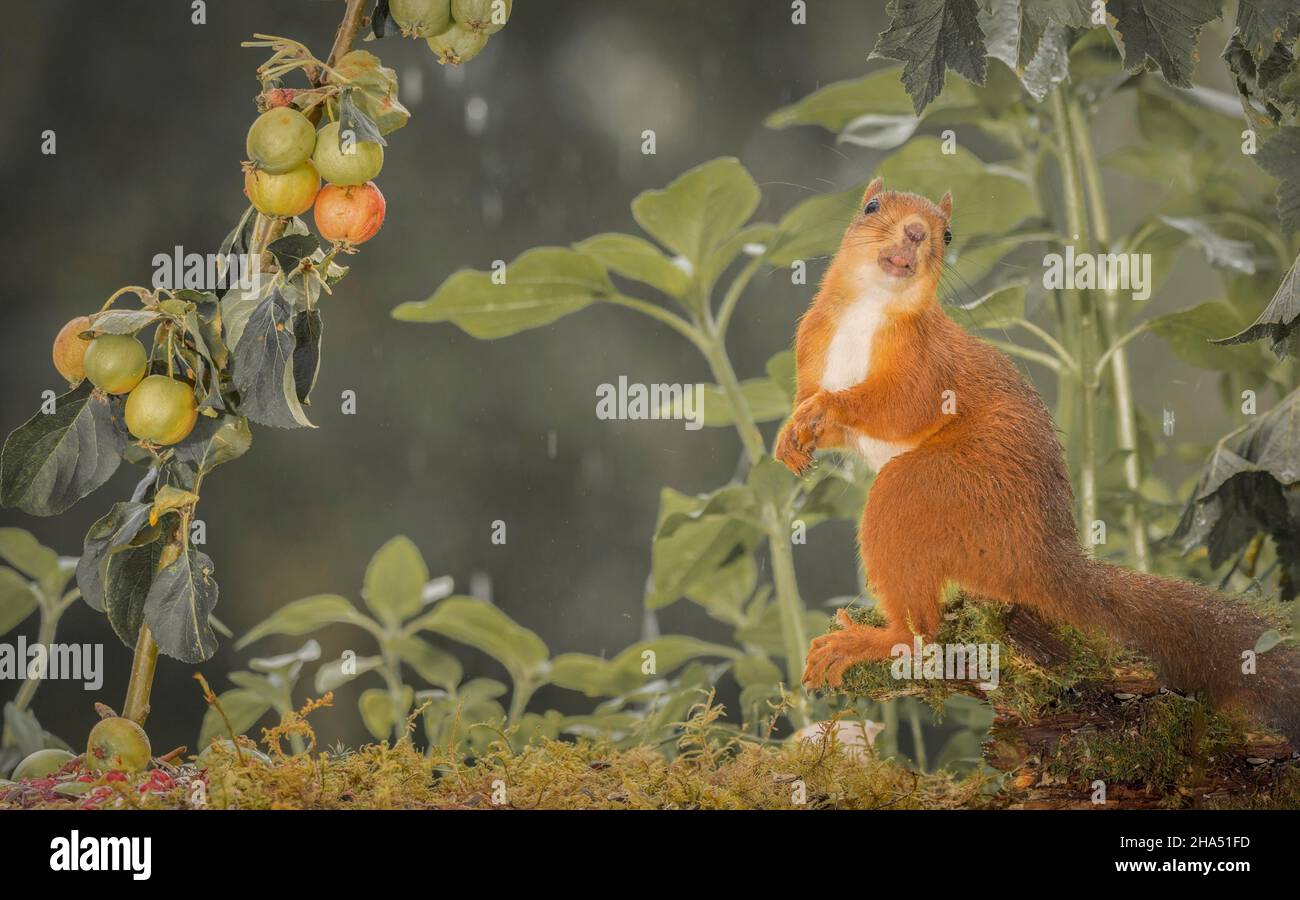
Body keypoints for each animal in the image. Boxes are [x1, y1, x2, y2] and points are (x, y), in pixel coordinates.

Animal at [774, 179, 1294, 743]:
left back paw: (877, 639)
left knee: (921, 634)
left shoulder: (927, 366)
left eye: (947, 234)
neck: (868, 309)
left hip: (931, 491)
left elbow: (900, 406)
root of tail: (1039, 556)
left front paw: (827, 407)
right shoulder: (813, 340)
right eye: (871, 207)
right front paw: (790, 437)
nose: (915, 232)